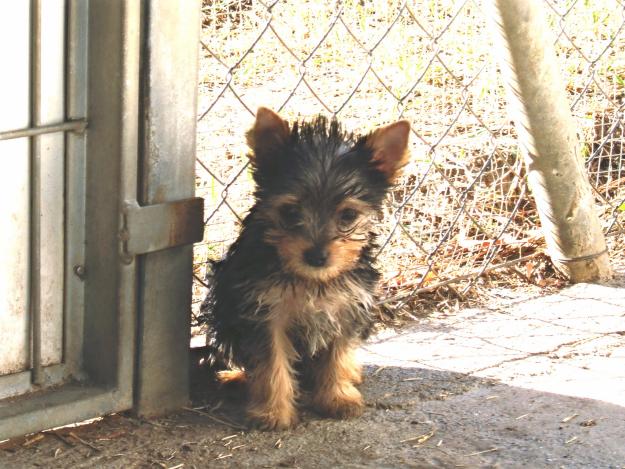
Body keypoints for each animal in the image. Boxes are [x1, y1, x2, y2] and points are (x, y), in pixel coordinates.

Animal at [202, 108, 410, 430]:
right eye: (290, 211)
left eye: (348, 215)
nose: (316, 256)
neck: (312, 280)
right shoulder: (264, 313)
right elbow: (271, 363)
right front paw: (273, 413)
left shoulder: (347, 307)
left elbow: (337, 354)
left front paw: (337, 397)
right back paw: (234, 376)